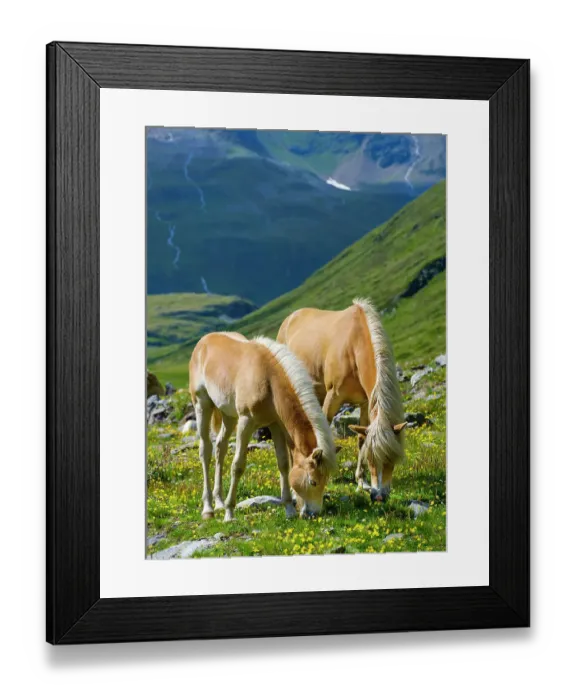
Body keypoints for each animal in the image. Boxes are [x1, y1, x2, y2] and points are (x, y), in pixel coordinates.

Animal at [189, 331, 337, 521]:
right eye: (313, 481)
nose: (314, 514)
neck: (268, 378)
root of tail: (203, 341)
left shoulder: (276, 425)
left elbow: (283, 464)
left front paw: (289, 510)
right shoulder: (246, 422)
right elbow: (238, 465)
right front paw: (230, 512)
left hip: (229, 415)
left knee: (220, 448)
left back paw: (219, 502)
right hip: (202, 405)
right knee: (206, 451)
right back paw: (209, 508)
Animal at [277, 298, 407, 503]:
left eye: (391, 460)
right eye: (372, 459)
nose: (379, 496)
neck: (354, 346)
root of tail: (290, 318)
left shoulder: (365, 403)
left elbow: (361, 439)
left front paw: (361, 482)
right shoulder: (333, 397)